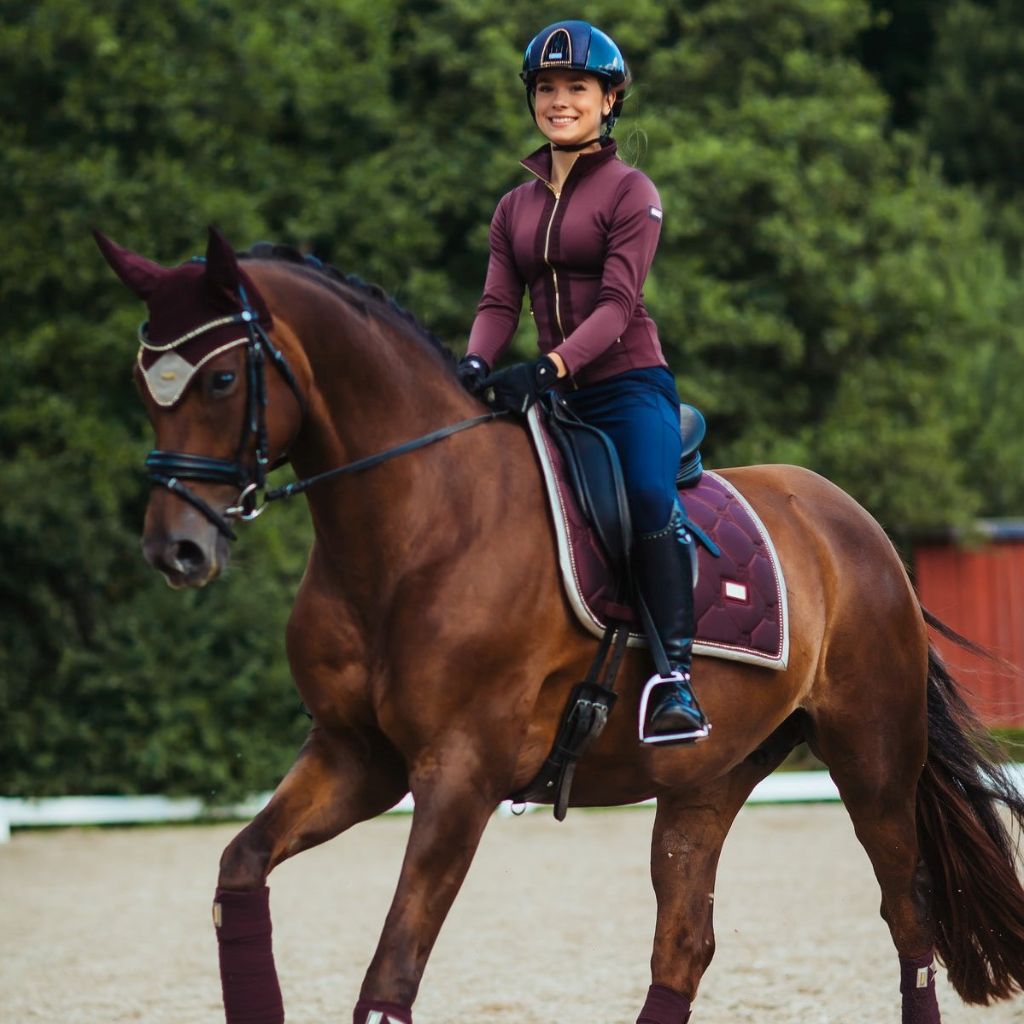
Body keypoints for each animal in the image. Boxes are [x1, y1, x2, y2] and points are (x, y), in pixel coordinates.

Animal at [96, 226, 1024, 1024]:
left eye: (220, 381)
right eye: (145, 385)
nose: (176, 548)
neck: (416, 525)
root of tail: (852, 522)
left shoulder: (460, 774)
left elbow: (391, 974)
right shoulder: (356, 758)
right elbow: (240, 870)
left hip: (872, 763)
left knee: (908, 917)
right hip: (709, 778)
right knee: (685, 942)